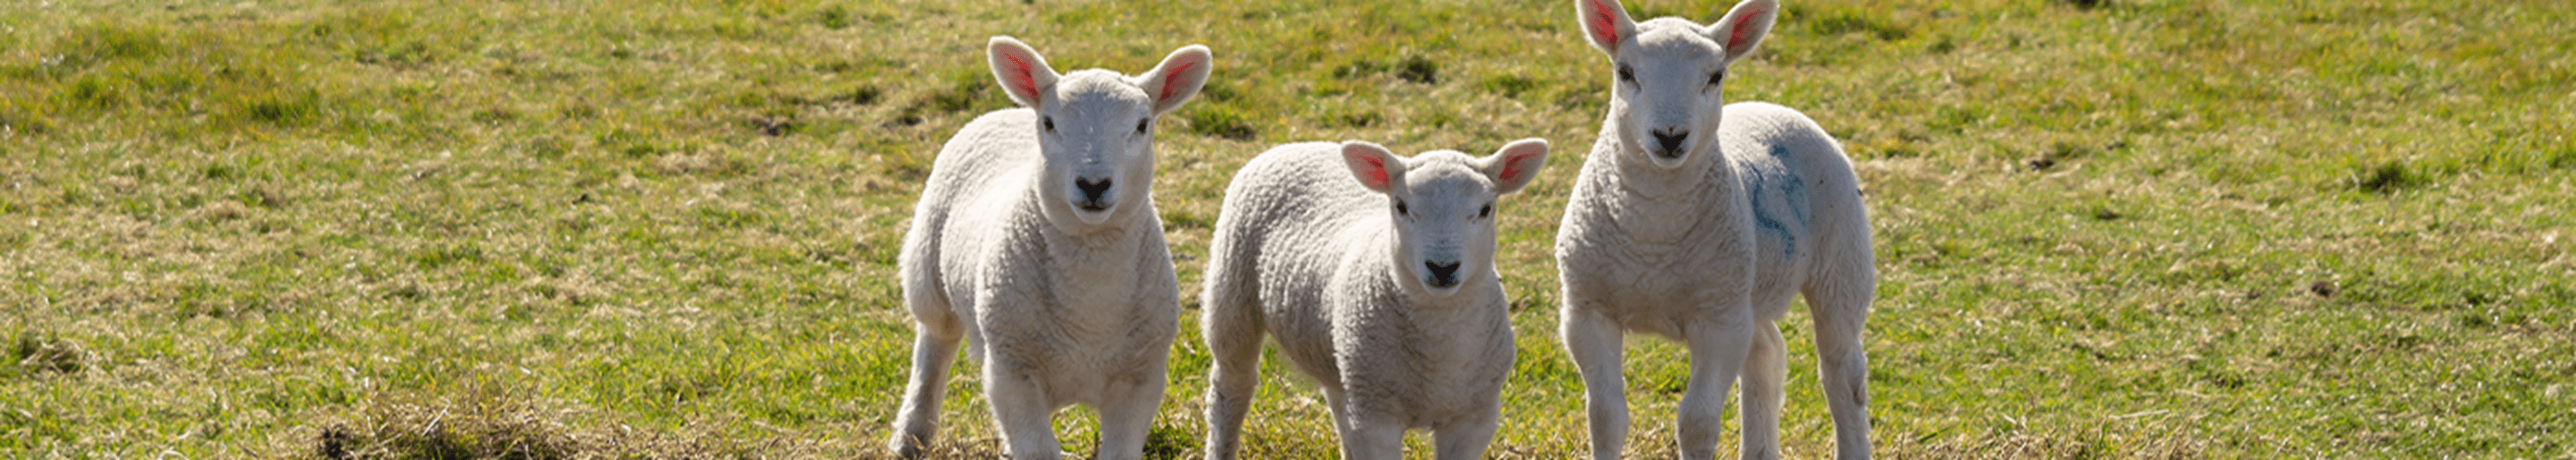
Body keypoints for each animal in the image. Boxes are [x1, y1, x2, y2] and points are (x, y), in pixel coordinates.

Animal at [886, 36, 1215, 460]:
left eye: (1142, 125)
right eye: (1050, 123)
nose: (1093, 184)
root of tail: (1008, 110)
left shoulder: (1141, 376)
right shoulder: (1012, 369)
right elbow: (1039, 449)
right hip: (928, 274)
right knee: (933, 347)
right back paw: (910, 435)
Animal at [1200, 139, 1545, 460]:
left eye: (1486, 209)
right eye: (1401, 206)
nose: (1442, 267)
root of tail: (1300, 144)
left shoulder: (1474, 420)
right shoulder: (1376, 419)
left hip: (1341, 356)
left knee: (1338, 406)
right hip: (1231, 294)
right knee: (1231, 392)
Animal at [1535, 1, 1885, 460]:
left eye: (1715, 76)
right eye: (1625, 72)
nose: (1670, 136)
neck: (1653, 235)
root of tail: (1772, 107)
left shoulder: (1719, 324)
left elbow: (1697, 421)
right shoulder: (1587, 312)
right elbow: (1606, 415)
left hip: (1841, 259)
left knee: (1843, 375)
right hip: (1745, 293)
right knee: (1767, 354)